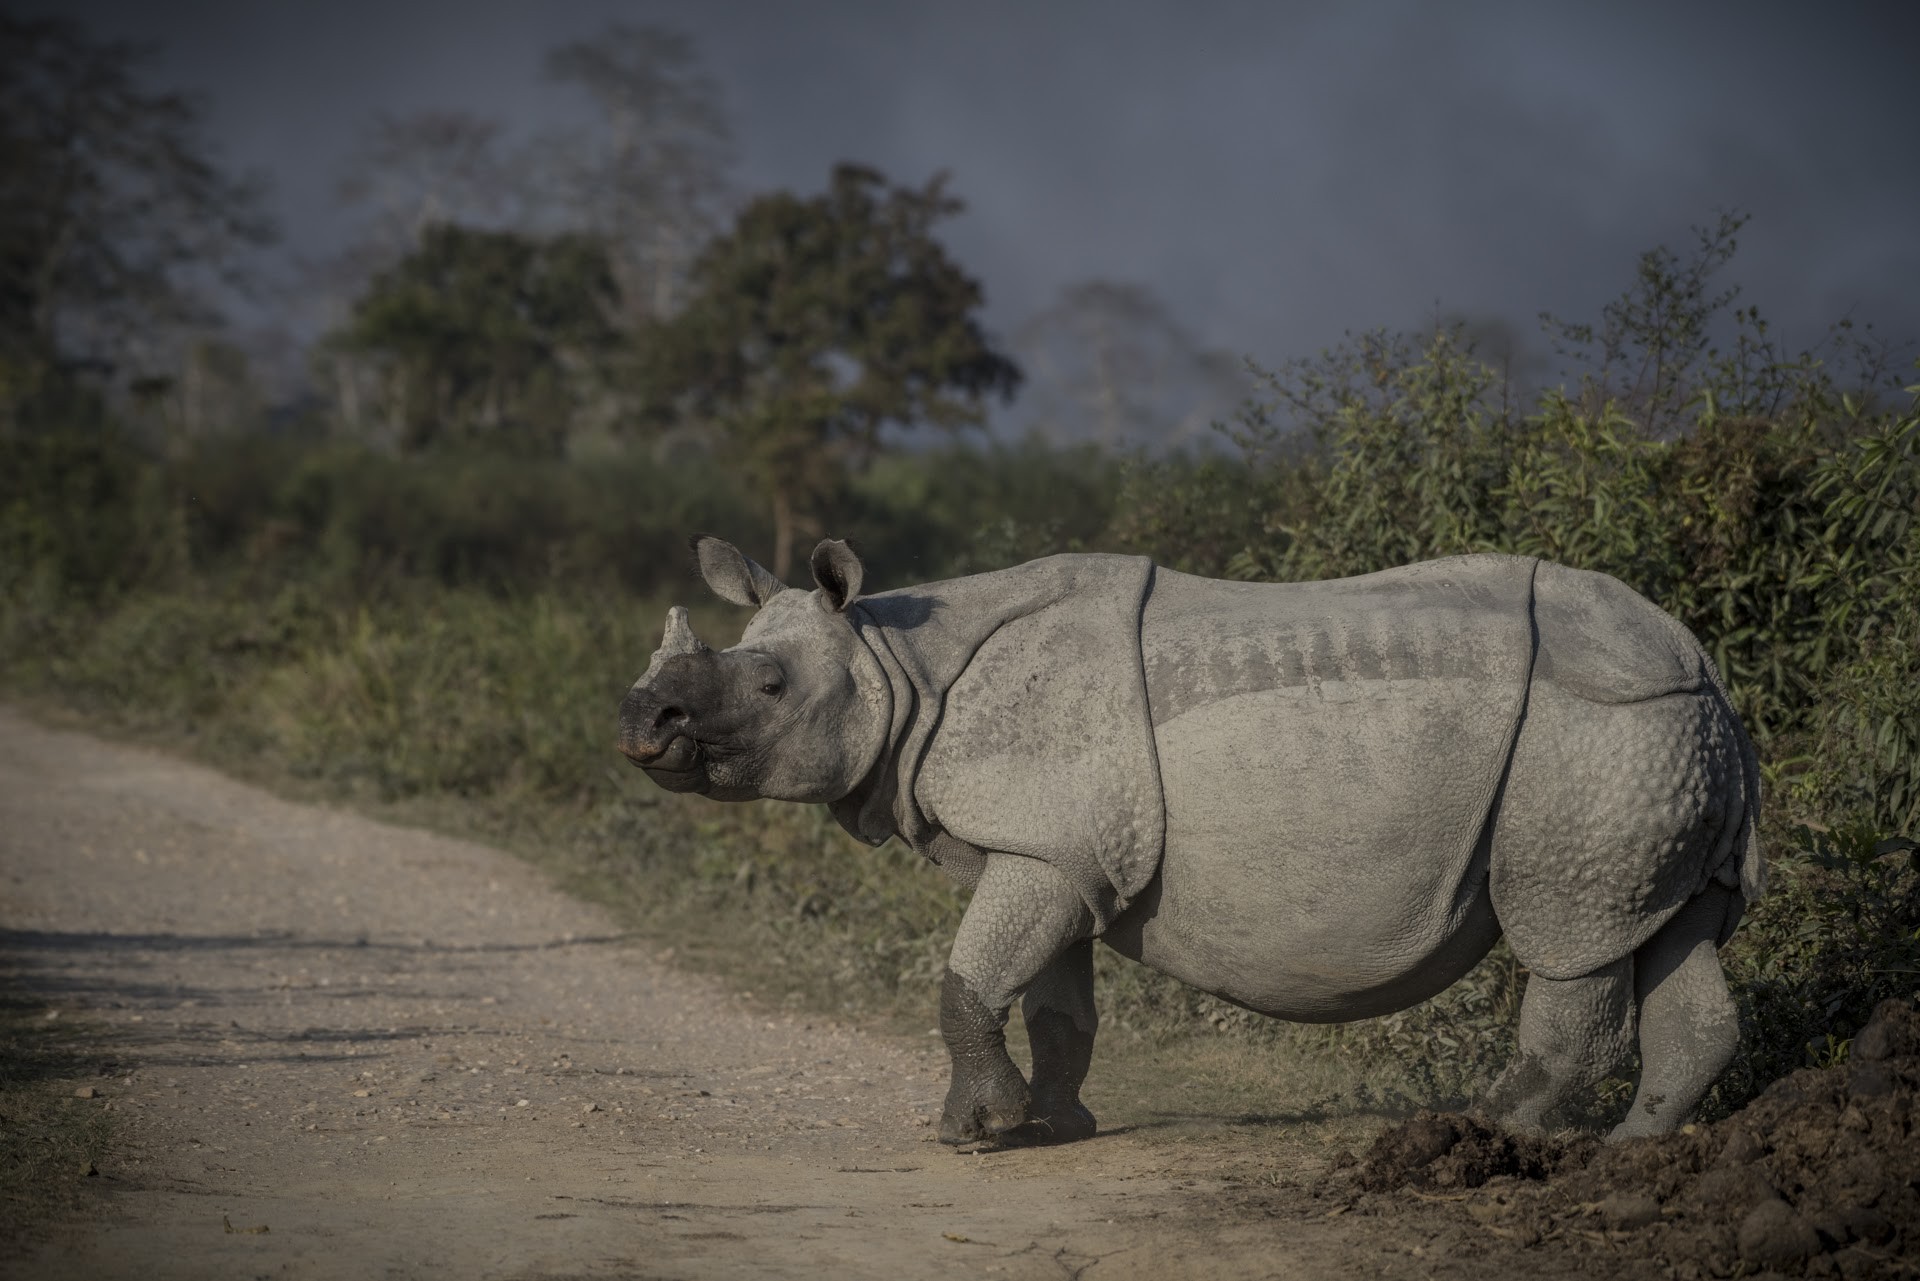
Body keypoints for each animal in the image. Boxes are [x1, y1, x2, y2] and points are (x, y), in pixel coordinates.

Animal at [619, 536, 1763, 1145]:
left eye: (770, 688)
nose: (641, 720)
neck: (897, 663)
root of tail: (1708, 672)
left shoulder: (1045, 843)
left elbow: (966, 982)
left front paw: (973, 1136)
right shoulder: (1060, 849)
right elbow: (1055, 1005)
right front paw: (1054, 1127)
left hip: (1595, 745)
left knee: (1571, 937)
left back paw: (1489, 1130)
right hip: (1659, 745)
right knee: (1671, 930)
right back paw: (1630, 1149)